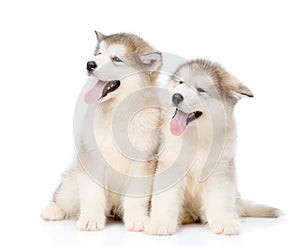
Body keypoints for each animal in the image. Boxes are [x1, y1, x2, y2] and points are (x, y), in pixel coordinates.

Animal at [41, 31, 163, 232]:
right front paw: (90, 219)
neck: (116, 112)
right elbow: (92, 194)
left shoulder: (143, 163)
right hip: (72, 182)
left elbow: (136, 196)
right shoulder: (92, 158)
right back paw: (53, 210)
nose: (90, 64)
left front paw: (137, 219)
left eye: (116, 59)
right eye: (99, 54)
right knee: (63, 196)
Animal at [148, 58, 282, 235]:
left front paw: (224, 222)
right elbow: (165, 199)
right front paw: (161, 223)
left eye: (200, 90)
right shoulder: (170, 166)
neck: (197, 137)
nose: (176, 96)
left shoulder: (220, 170)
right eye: (180, 82)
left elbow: (220, 200)